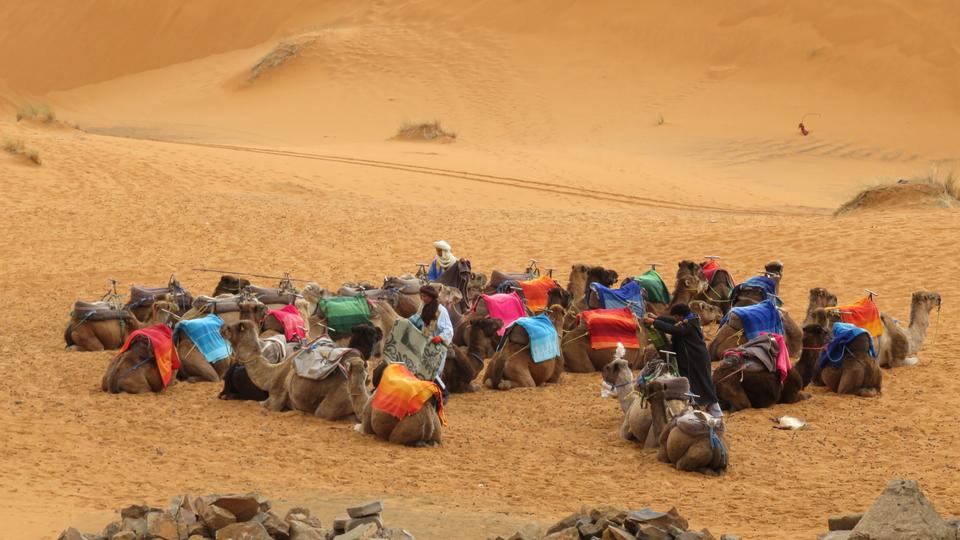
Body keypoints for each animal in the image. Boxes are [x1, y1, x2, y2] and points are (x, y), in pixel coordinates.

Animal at [219, 318, 380, 420]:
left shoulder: (275, 397)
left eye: (231, 328)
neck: (272, 372)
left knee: (324, 413)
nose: (221, 327)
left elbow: (264, 405)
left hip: (335, 400)